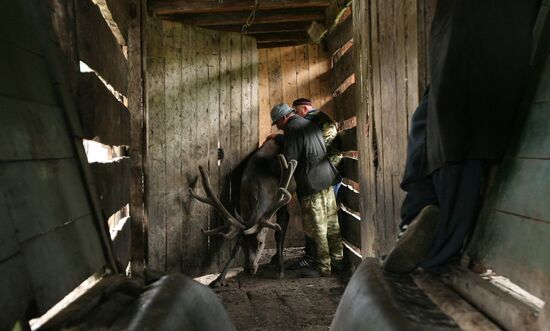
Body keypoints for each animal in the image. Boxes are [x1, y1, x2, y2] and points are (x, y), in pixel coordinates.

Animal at [192, 139, 300, 286]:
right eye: (242, 244)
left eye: (260, 242)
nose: (250, 269)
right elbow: (234, 248)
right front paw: (219, 279)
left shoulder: (283, 198)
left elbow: (279, 232)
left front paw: (280, 270)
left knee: (285, 223)